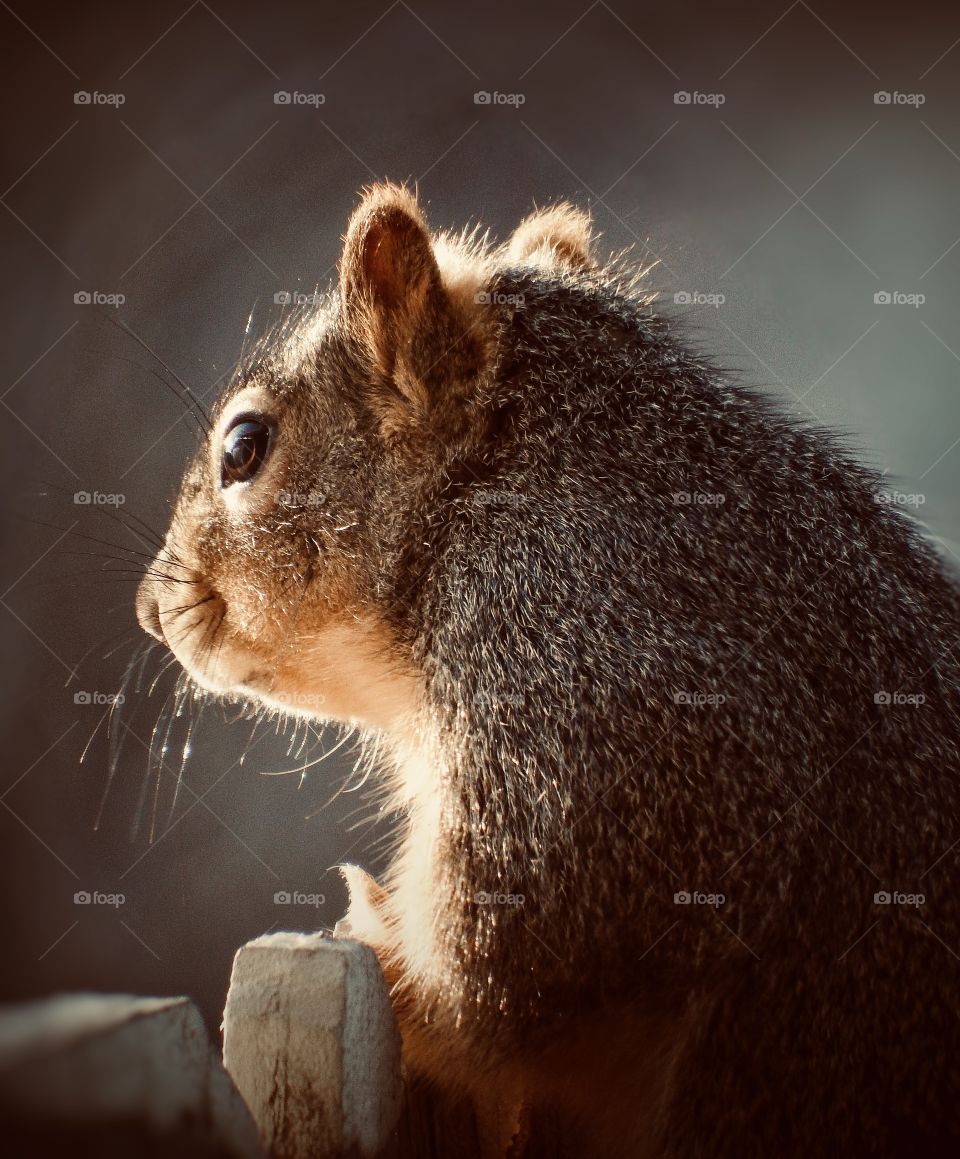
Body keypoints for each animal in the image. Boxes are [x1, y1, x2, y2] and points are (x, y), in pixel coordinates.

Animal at [137, 183, 960, 1157]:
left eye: (244, 446)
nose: (151, 609)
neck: (499, 479)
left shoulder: (589, 678)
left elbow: (509, 965)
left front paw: (390, 953)